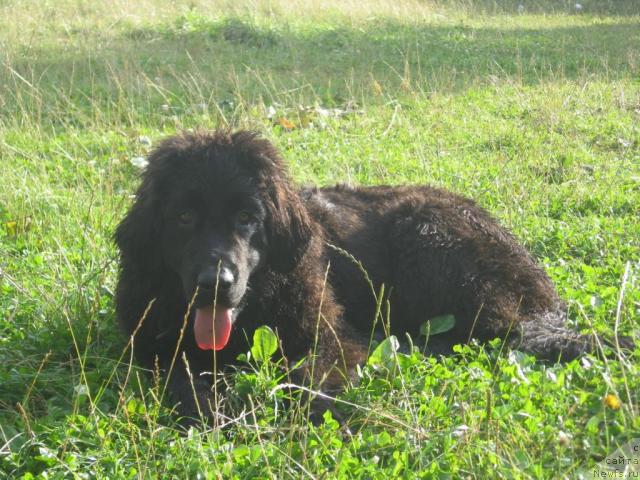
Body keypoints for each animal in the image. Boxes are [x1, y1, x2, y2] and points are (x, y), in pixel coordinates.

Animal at [114, 129, 632, 422]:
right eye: (183, 219)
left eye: (246, 219)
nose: (214, 284)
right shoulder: (150, 348)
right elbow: (179, 379)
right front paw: (213, 404)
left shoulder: (331, 335)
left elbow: (309, 374)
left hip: (431, 240)